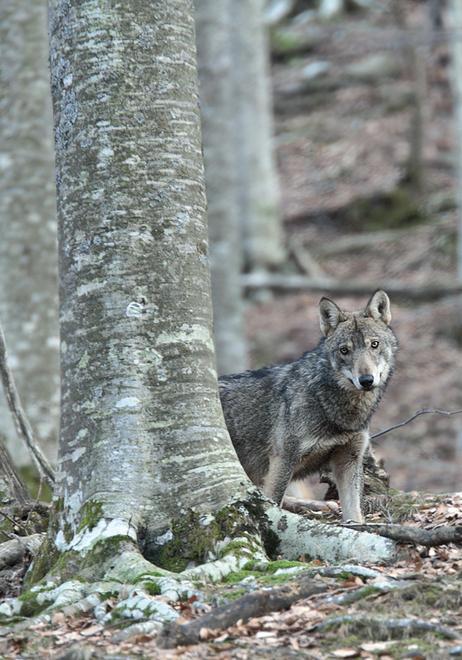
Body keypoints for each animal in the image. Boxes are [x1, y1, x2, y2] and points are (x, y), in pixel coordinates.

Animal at [219, 290, 398, 523]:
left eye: (374, 344)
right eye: (344, 350)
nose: (366, 380)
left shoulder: (349, 459)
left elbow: (355, 514)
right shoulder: (283, 460)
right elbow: (272, 505)